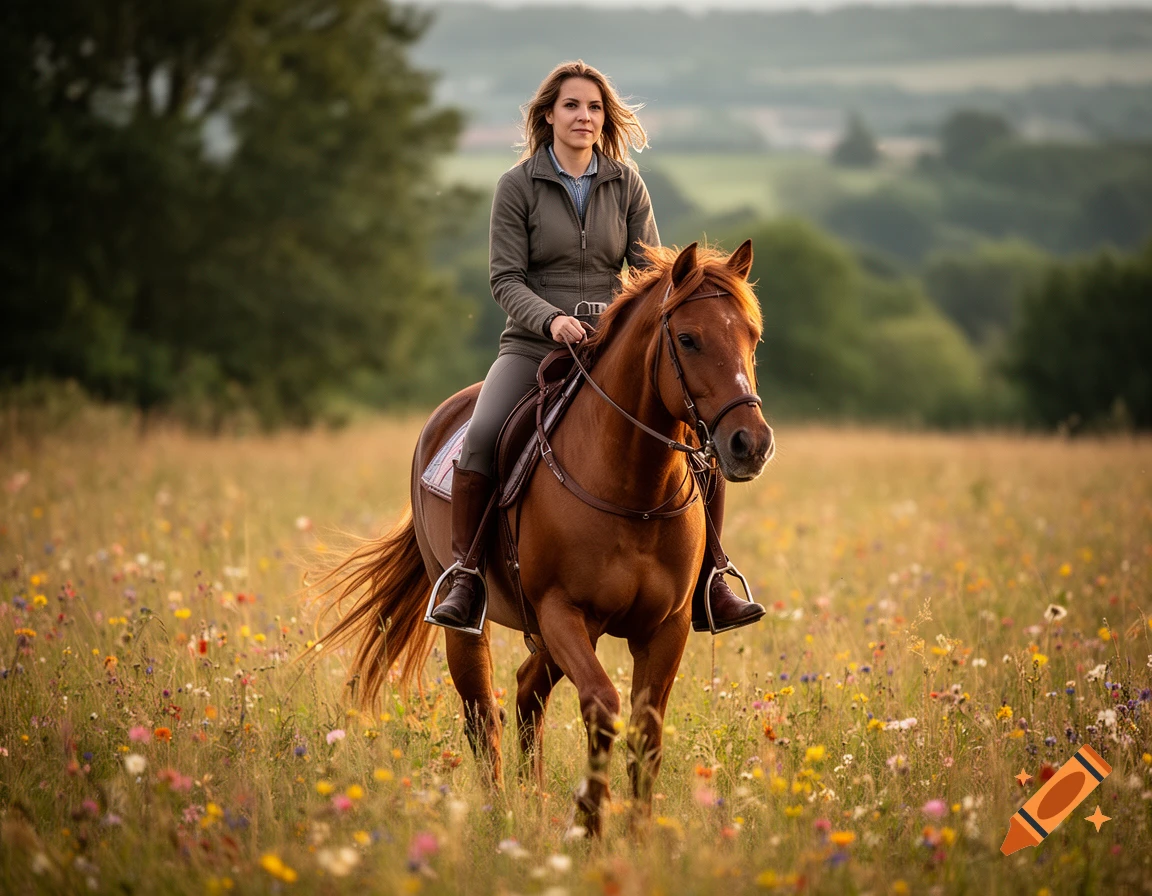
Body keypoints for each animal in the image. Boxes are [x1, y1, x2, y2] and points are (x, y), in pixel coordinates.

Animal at [315, 240, 773, 835]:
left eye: (752, 336)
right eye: (689, 338)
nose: (751, 444)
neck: (634, 489)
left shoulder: (666, 626)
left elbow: (646, 730)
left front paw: (639, 835)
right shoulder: (562, 612)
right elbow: (602, 705)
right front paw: (589, 820)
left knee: (527, 691)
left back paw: (531, 804)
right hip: (476, 624)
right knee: (482, 711)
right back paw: (499, 814)